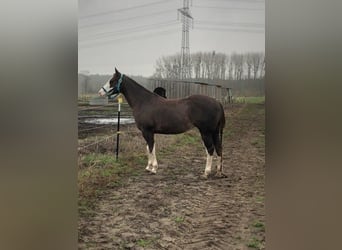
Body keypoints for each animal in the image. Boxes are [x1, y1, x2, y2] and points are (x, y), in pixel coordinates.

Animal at [99, 68, 227, 178]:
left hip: (206, 132)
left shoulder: (147, 131)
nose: (100, 92)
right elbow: (149, 147)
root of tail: (217, 102)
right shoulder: (149, 132)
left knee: (210, 149)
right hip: (214, 132)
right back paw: (218, 172)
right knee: (219, 148)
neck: (144, 101)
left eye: (112, 80)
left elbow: (151, 147)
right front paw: (148, 167)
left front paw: (153, 169)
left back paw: (206, 172)